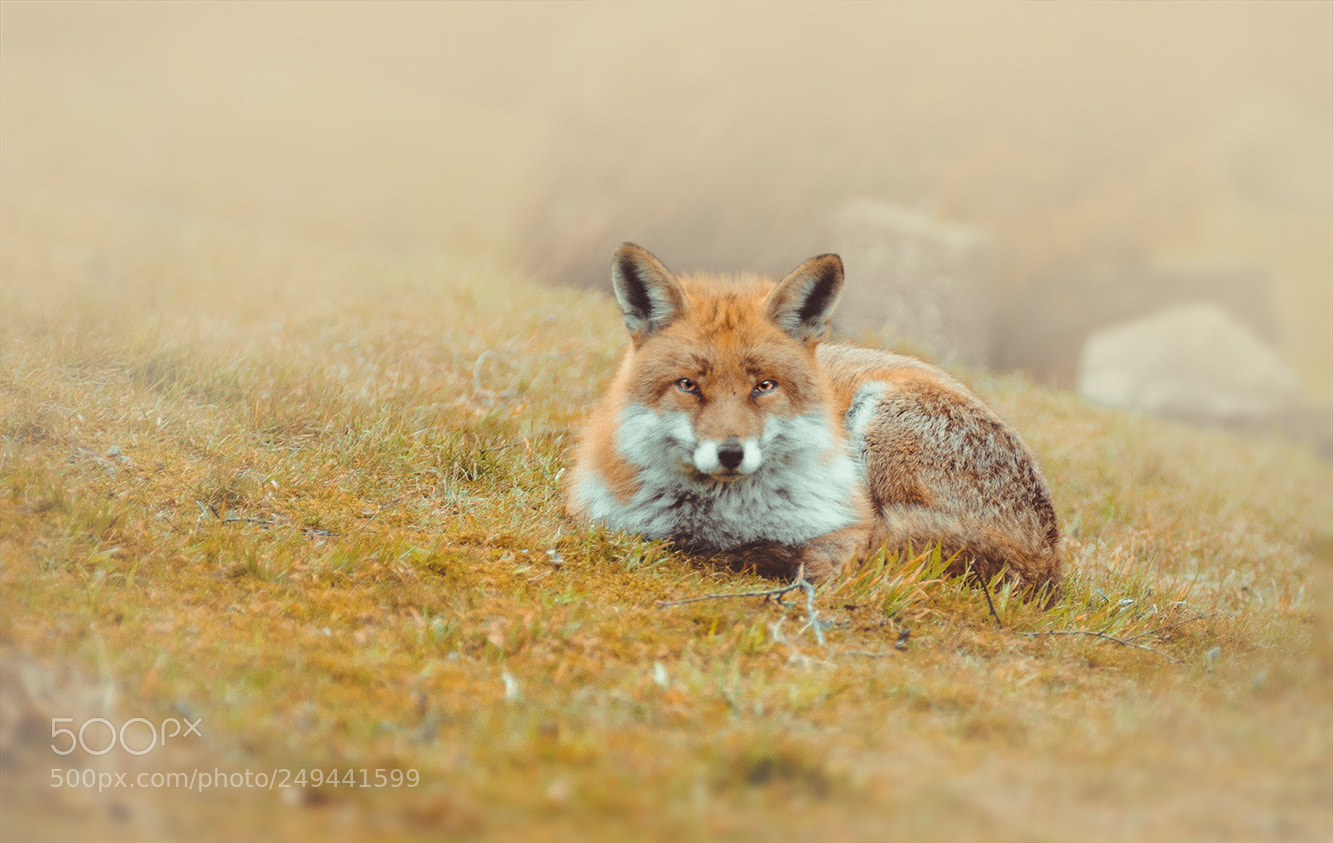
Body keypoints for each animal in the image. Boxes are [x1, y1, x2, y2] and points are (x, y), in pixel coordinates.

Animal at [565, 242, 1063, 596]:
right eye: (688, 385)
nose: (730, 453)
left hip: (879, 417)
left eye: (764, 386)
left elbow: (823, 563)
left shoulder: (850, 531)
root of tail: (1050, 555)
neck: (720, 519)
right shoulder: (607, 518)